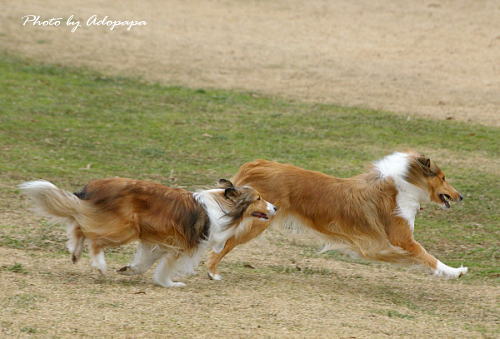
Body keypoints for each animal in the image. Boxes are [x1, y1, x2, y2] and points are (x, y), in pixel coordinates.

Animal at [19, 178, 278, 286]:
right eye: (259, 198)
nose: (275, 207)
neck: (224, 208)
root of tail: (93, 187)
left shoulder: (159, 242)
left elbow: (144, 264)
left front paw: (129, 270)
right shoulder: (180, 246)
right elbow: (165, 268)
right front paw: (169, 284)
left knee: (77, 223)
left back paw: (74, 251)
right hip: (125, 228)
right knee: (93, 238)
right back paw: (99, 264)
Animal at [207, 153, 468, 280]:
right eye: (443, 178)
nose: (461, 196)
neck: (402, 187)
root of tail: (257, 164)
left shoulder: (377, 246)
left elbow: (407, 258)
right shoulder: (403, 239)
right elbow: (427, 255)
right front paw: (453, 272)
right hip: (256, 222)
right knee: (222, 245)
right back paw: (212, 271)